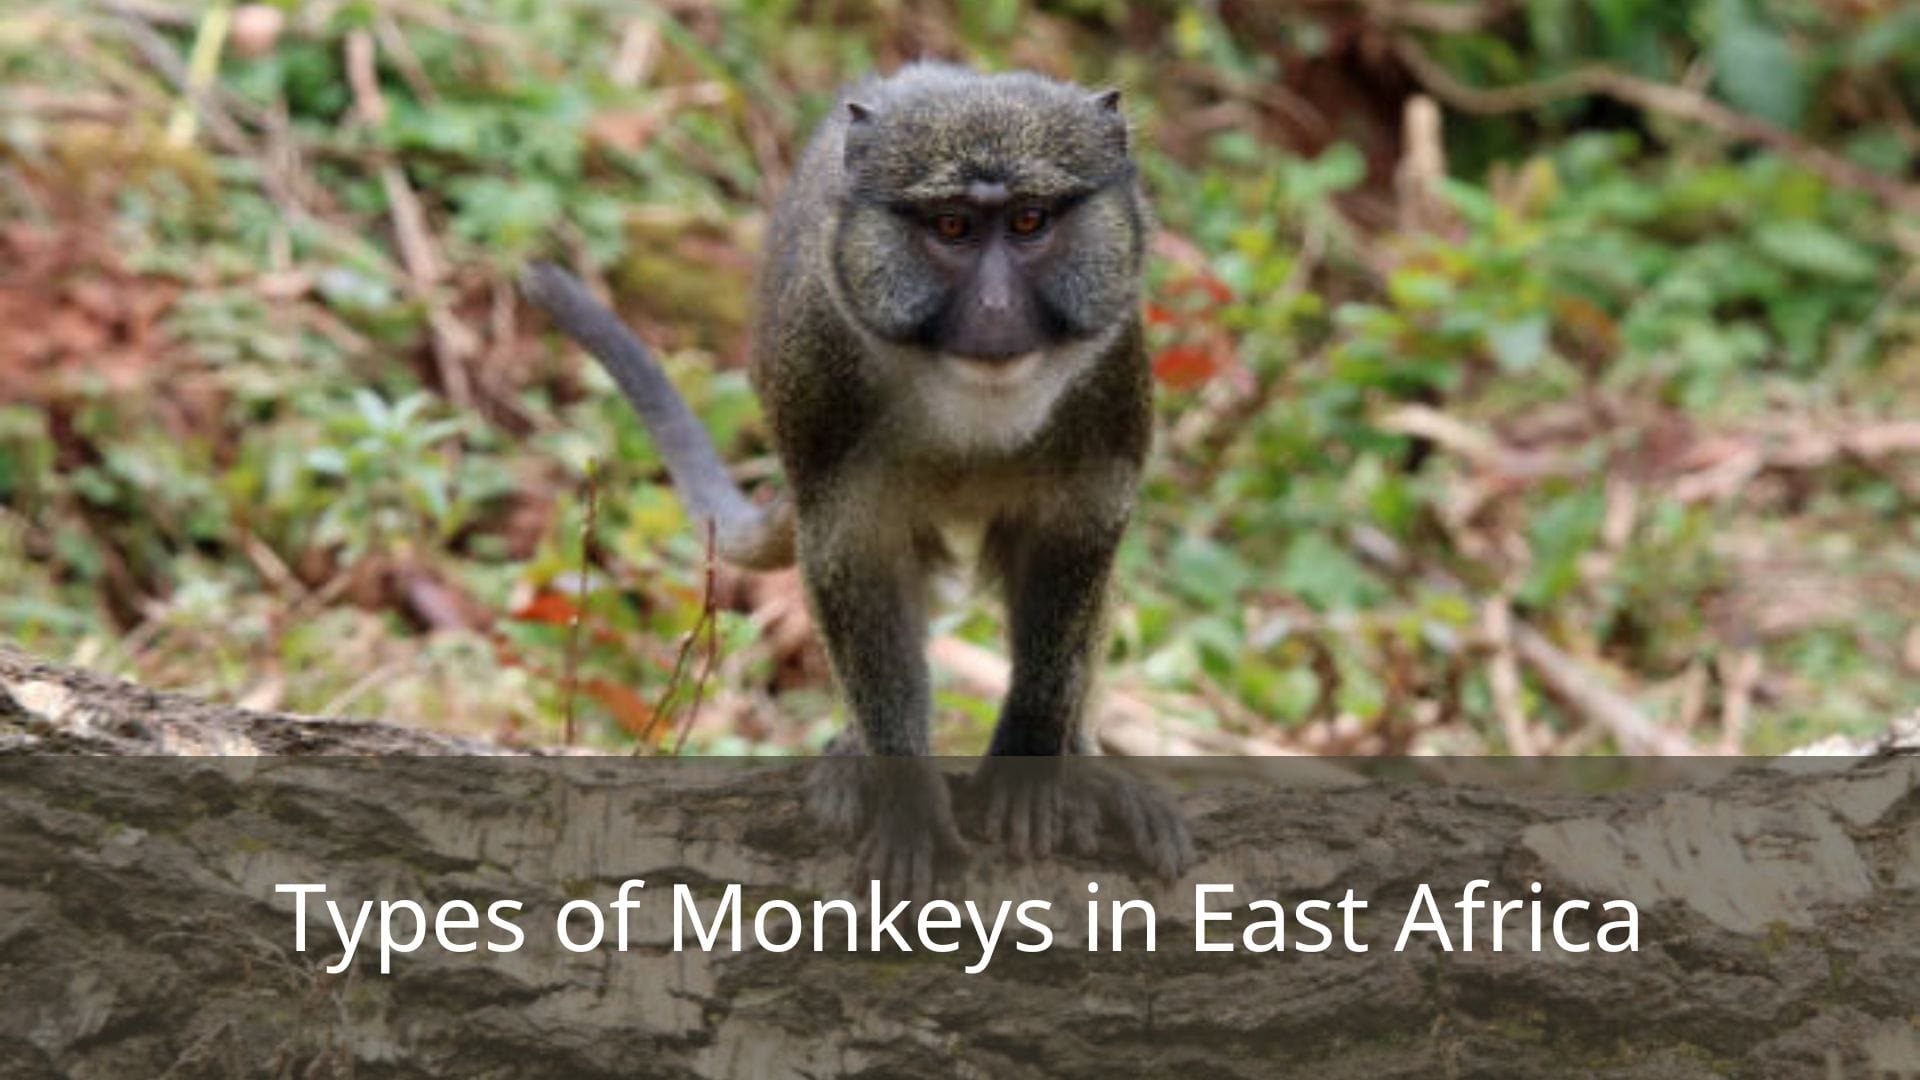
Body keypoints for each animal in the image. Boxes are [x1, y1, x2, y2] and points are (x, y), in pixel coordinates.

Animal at [522, 63, 1191, 894]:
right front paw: (909, 803)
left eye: (1031, 221)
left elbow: (1074, 547)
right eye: (952, 228)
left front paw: (1031, 765)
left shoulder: (1111, 383)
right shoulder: (824, 384)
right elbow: (857, 563)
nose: (996, 308)